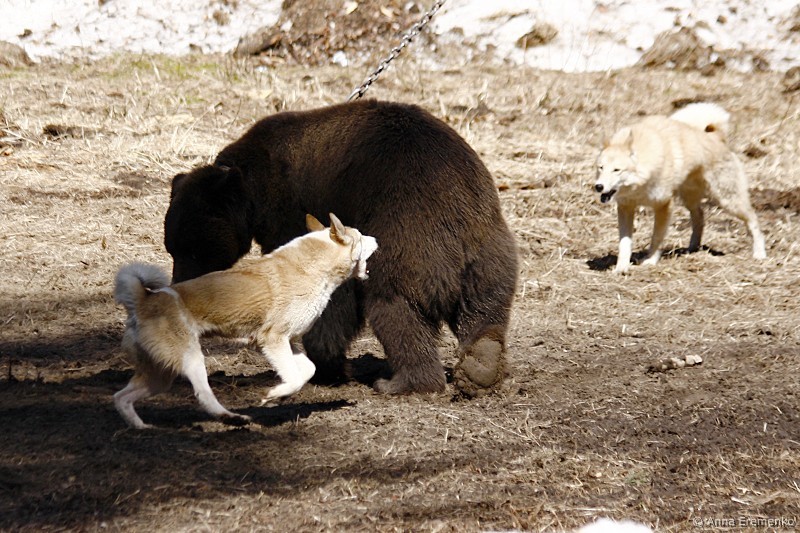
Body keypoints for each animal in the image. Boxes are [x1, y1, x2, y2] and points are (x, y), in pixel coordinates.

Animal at [113, 214, 378, 429]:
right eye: (360, 236)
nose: (376, 239)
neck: (312, 267)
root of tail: (143, 301)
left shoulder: (284, 342)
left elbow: (307, 370)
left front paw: (280, 395)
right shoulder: (272, 339)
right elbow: (294, 378)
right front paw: (274, 394)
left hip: (161, 374)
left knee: (120, 397)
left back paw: (141, 427)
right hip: (190, 359)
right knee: (203, 394)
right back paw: (232, 418)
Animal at [594, 102, 766, 273]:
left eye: (617, 170)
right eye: (601, 168)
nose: (598, 186)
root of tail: (716, 137)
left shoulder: (664, 205)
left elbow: (657, 237)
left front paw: (650, 260)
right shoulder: (626, 208)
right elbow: (624, 243)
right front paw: (621, 268)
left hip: (727, 199)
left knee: (753, 219)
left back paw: (759, 253)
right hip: (690, 199)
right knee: (700, 217)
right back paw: (692, 248)